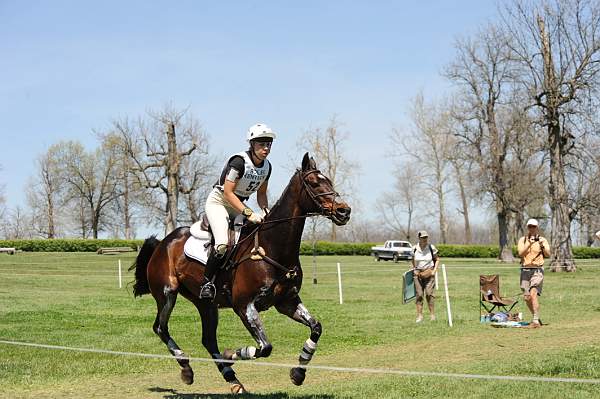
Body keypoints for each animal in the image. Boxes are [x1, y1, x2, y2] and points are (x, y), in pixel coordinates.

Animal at [129, 152, 350, 394]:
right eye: (314, 183)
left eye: (329, 181)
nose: (344, 211)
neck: (273, 247)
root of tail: (162, 243)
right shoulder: (244, 306)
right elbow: (265, 347)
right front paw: (231, 354)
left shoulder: (287, 301)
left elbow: (316, 328)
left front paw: (298, 372)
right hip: (167, 293)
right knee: (160, 327)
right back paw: (186, 368)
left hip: (205, 304)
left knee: (208, 340)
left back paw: (232, 380)